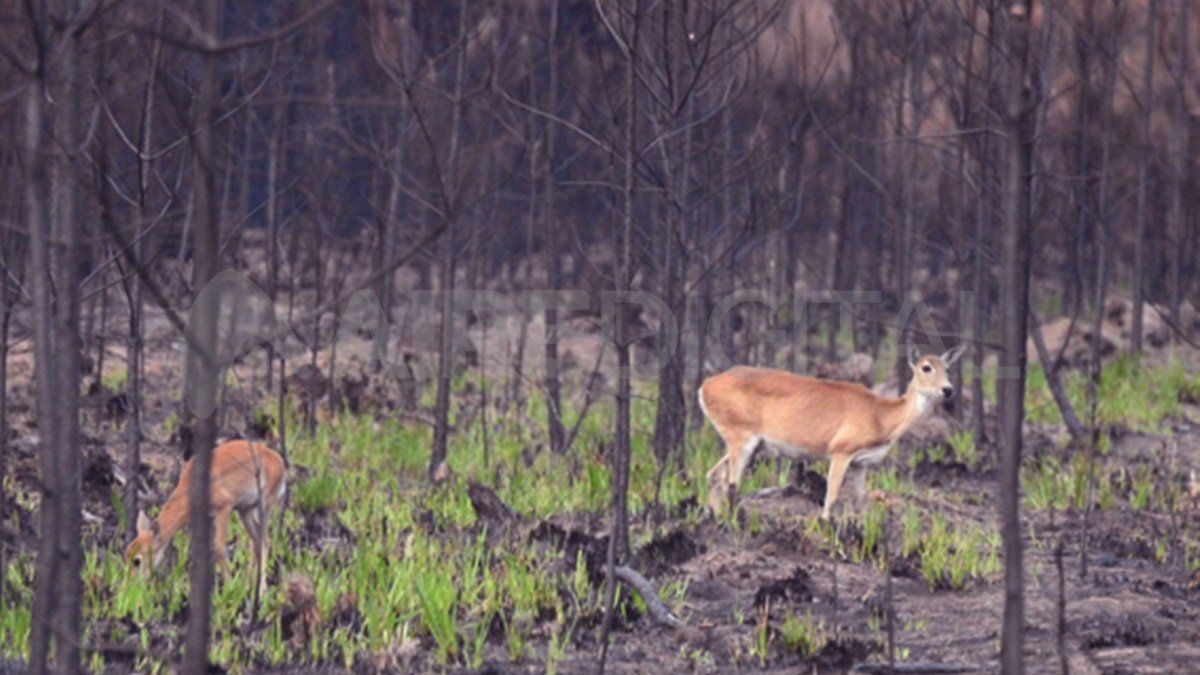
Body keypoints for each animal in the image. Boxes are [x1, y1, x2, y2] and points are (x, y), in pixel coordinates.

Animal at [125, 440, 287, 594]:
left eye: (137, 560)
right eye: (126, 554)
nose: (129, 587)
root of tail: (279, 462)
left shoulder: (224, 508)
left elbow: (220, 548)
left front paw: (229, 588)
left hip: (264, 507)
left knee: (265, 541)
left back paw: (261, 590)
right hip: (245, 511)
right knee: (256, 542)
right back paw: (250, 585)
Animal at [699, 345, 965, 519]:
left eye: (948, 367)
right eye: (926, 367)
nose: (948, 390)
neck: (881, 416)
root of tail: (705, 386)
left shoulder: (861, 463)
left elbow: (860, 502)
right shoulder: (840, 450)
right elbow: (831, 499)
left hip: (750, 443)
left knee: (713, 474)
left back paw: (715, 518)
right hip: (741, 435)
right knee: (732, 483)